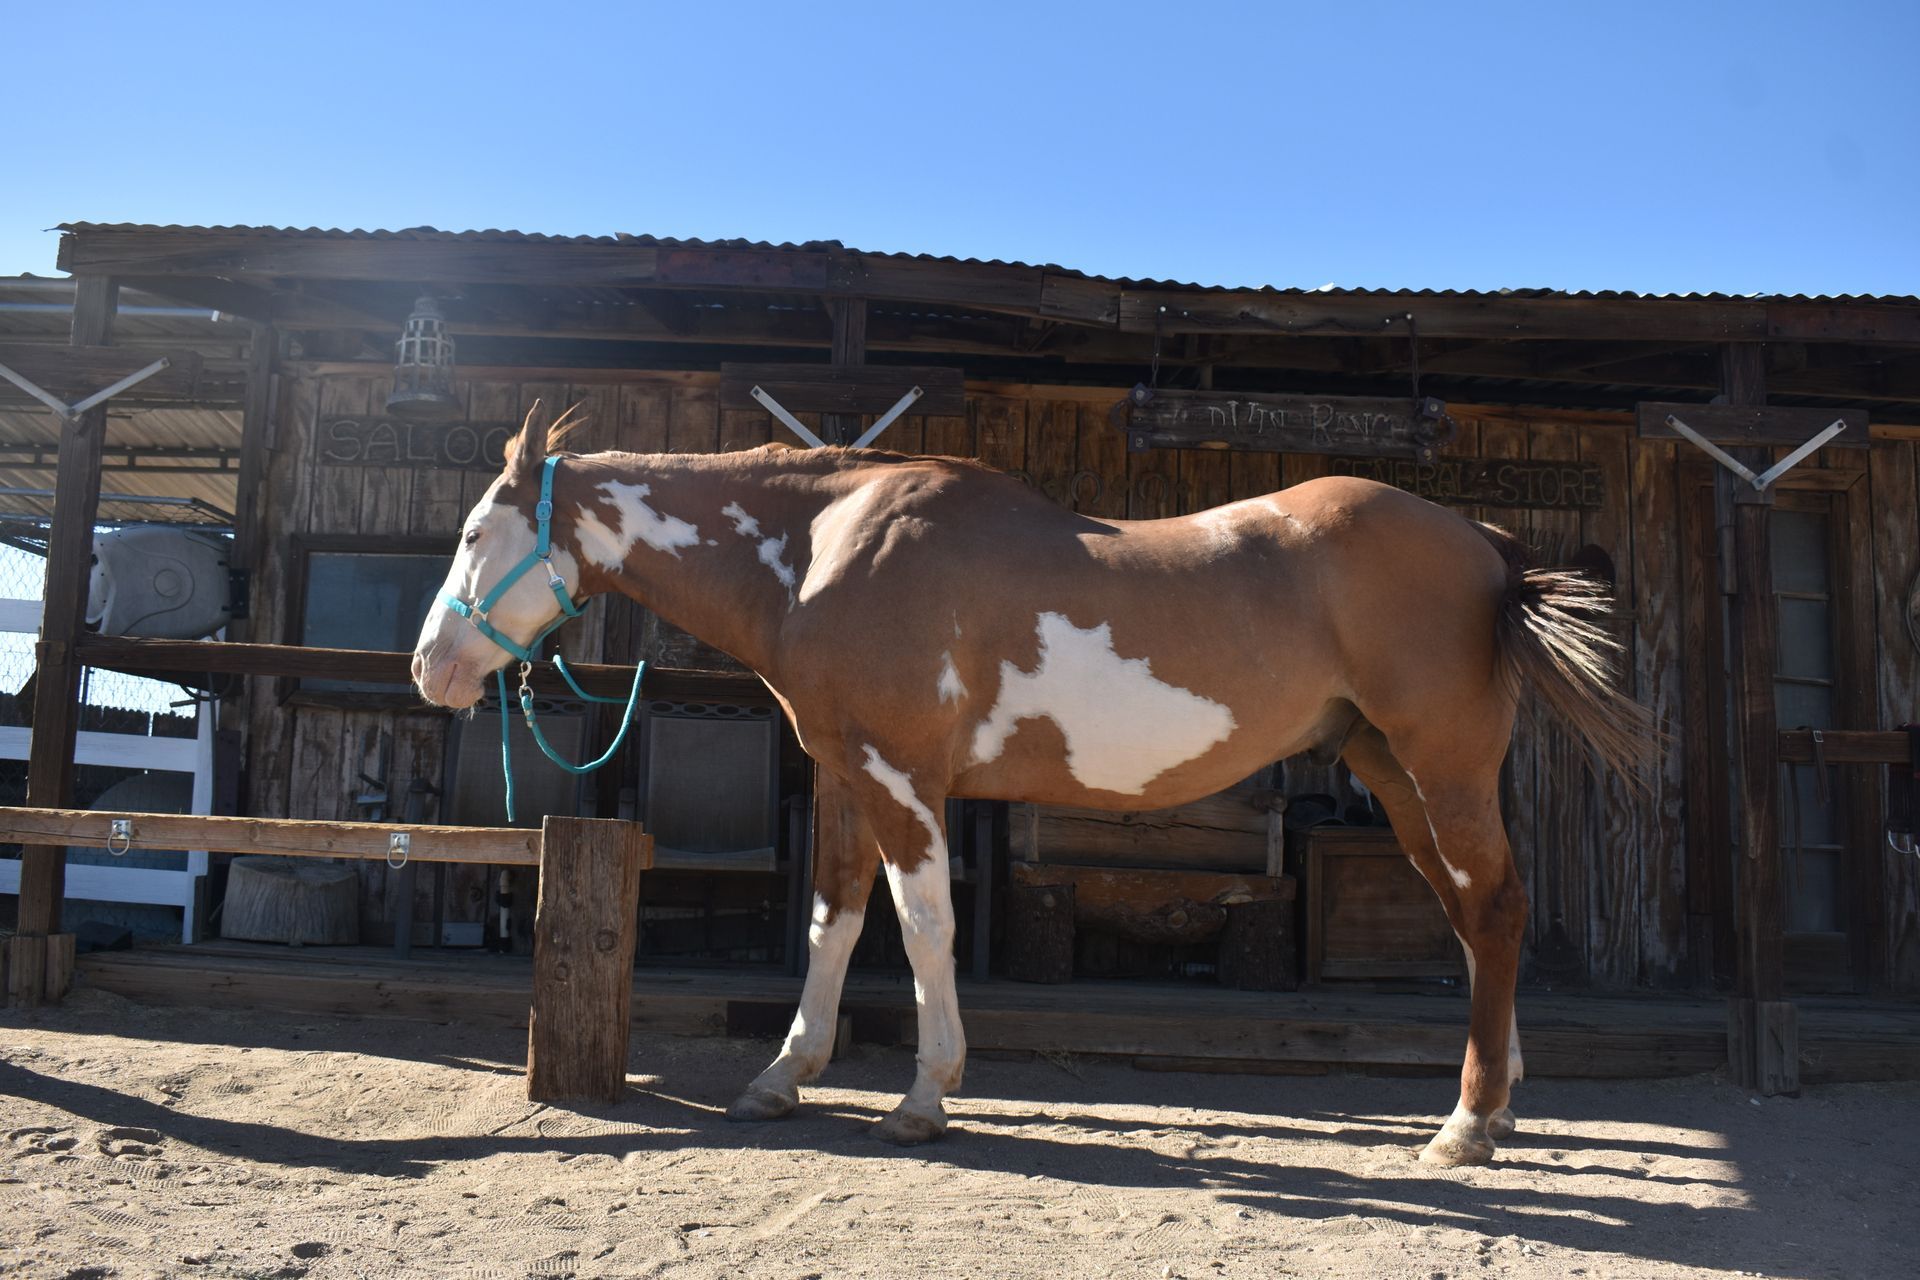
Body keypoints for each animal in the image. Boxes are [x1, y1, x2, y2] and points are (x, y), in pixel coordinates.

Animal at [411, 405, 1649, 1166]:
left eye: (473, 531)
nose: (431, 666)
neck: (826, 546)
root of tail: (1485, 541)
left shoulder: (906, 778)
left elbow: (923, 925)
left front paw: (923, 1096)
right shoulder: (848, 775)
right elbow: (830, 920)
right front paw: (782, 1075)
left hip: (1441, 762)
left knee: (1494, 906)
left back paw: (1466, 1123)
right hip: (1393, 770)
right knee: (1473, 914)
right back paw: (1502, 1094)